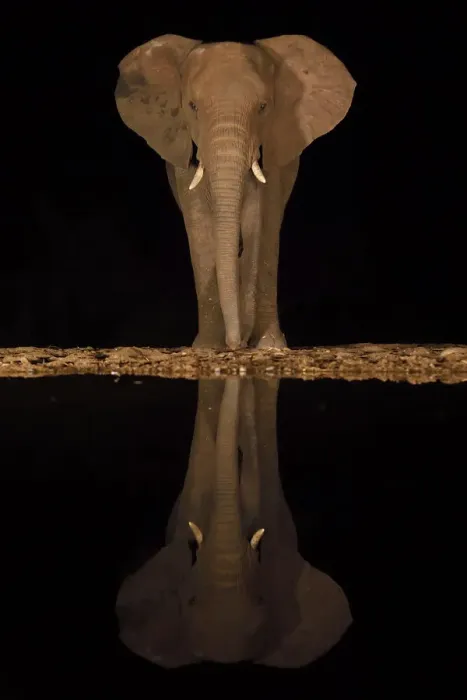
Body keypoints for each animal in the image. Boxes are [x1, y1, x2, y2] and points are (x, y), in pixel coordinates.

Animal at [114, 34, 356, 350]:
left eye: (263, 107)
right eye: (192, 106)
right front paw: (207, 348)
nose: (238, 343)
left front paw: (269, 346)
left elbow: (265, 211)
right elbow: (197, 217)